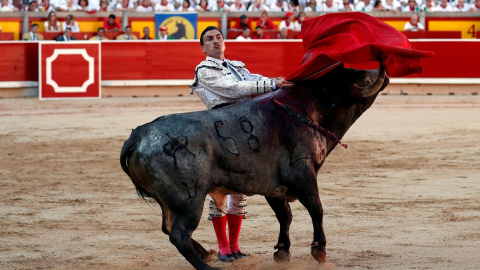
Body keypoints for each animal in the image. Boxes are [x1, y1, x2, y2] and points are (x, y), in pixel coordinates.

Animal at [121, 63, 390, 270]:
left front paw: (282, 252)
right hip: (189, 199)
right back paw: (207, 266)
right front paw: (319, 251)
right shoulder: (303, 174)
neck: (309, 108)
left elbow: (285, 215)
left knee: (168, 228)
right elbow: (317, 209)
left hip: (169, 201)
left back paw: (207, 254)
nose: (384, 72)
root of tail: (138, 135)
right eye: (364, 78)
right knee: (179, 234)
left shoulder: (272, 186)